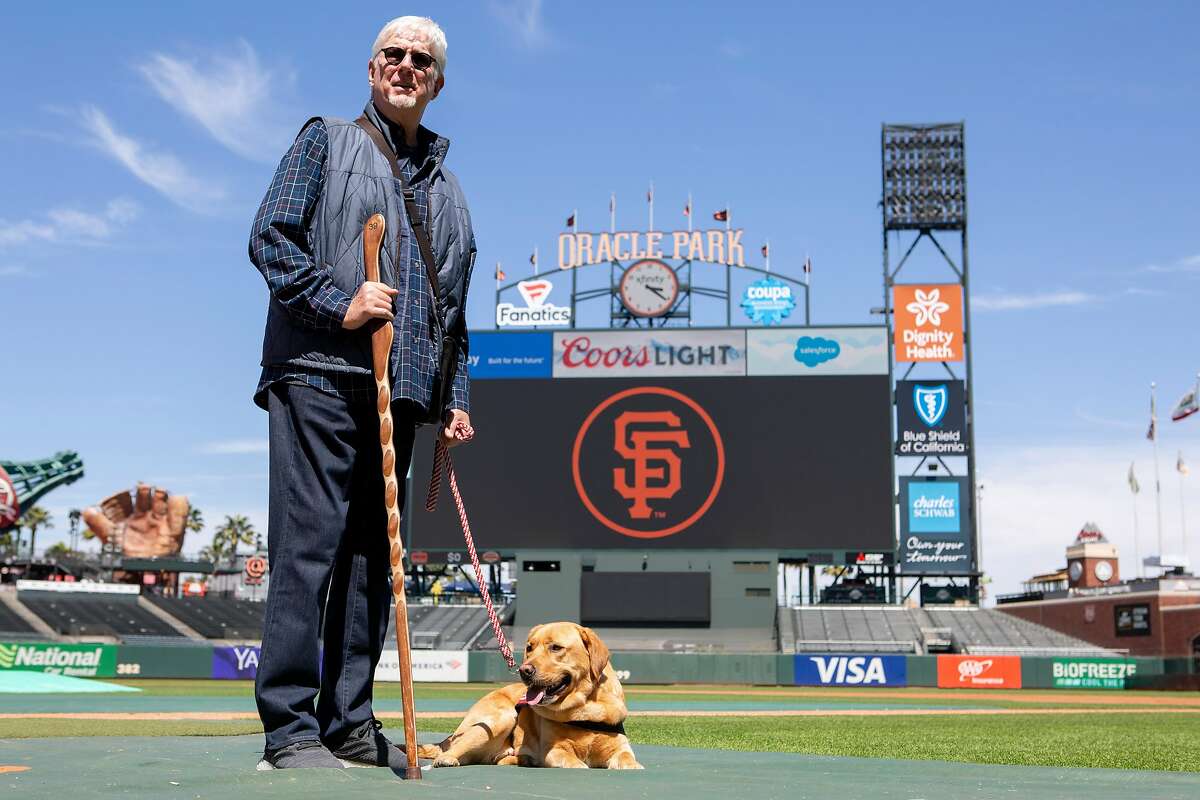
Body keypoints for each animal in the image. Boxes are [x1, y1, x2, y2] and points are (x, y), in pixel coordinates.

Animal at [408, 618, 643, 767]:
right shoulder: (554, 751)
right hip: (501, 718)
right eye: (530, 647)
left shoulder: (622, 750)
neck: (585, 708)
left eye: (556, 647)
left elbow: (631, 763)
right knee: (454, 749)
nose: (524, 670)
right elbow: (577, 765)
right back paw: (447, 758)